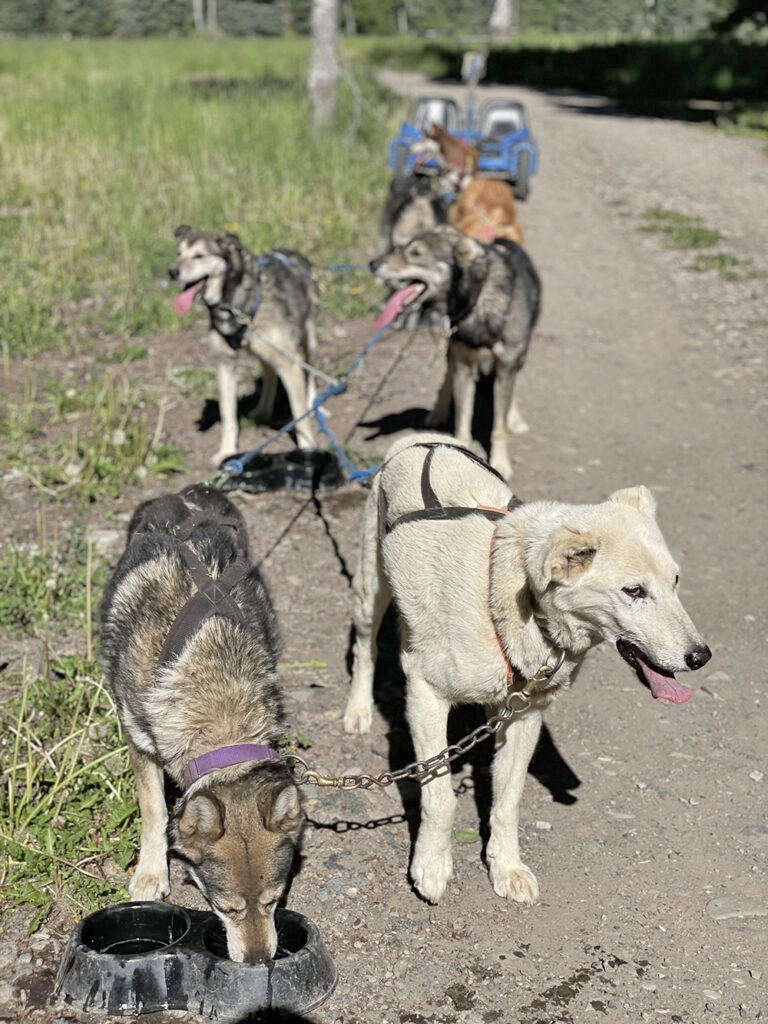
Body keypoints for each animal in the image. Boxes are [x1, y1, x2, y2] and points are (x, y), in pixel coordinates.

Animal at [346, 432, 712, 905]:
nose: (701, 657)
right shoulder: (427, 697)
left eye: (676, 582)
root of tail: (422, 439)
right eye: (633, 591)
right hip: (370, 592)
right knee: (365, 650)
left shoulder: (525, 716)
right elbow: (440, 797)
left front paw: (507, 868)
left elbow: (508, 800)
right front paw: (432, 865)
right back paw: (357, 710)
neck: (503, 594)